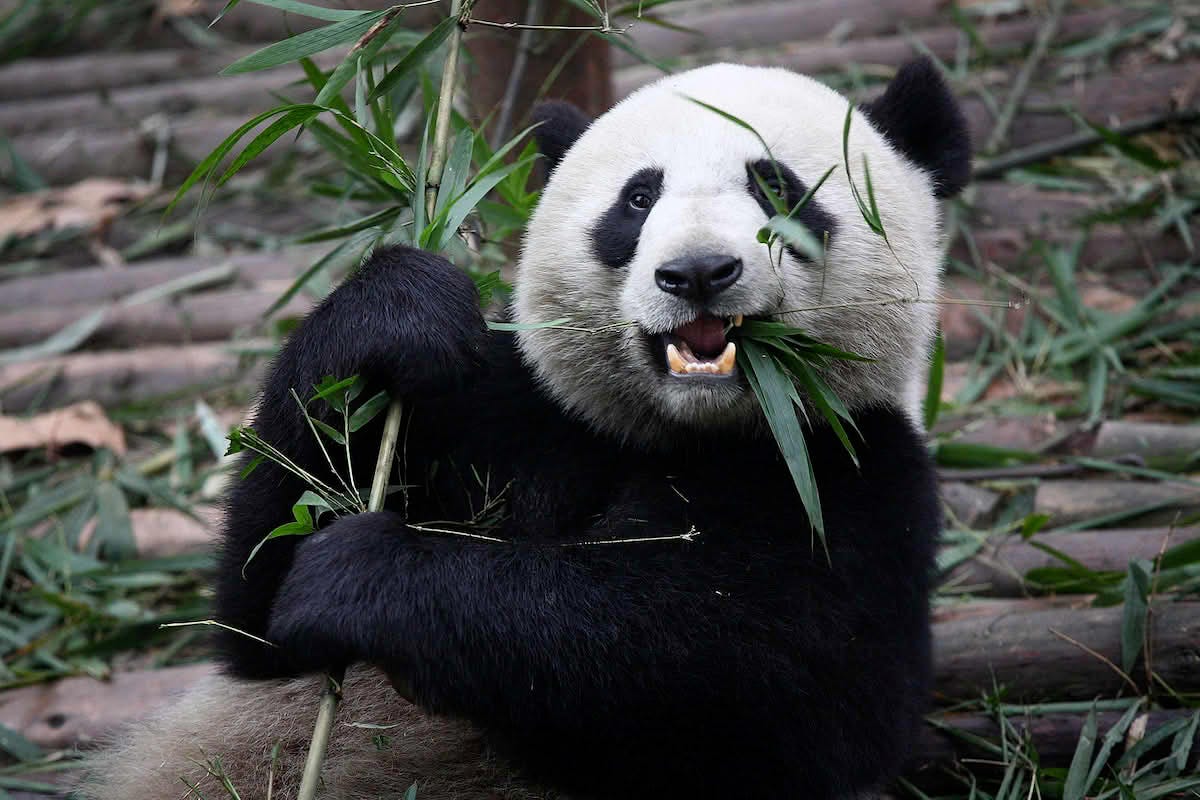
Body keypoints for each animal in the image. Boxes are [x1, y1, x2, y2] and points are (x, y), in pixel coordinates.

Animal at [82, 57, 969, 800]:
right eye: (638, 199)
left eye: (778, 189)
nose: (697, 274)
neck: (681, 431)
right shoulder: (518, 413)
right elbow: (256, 619)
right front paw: (397, 312)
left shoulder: (852, 478)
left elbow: (733, 675)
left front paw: (361, 574)